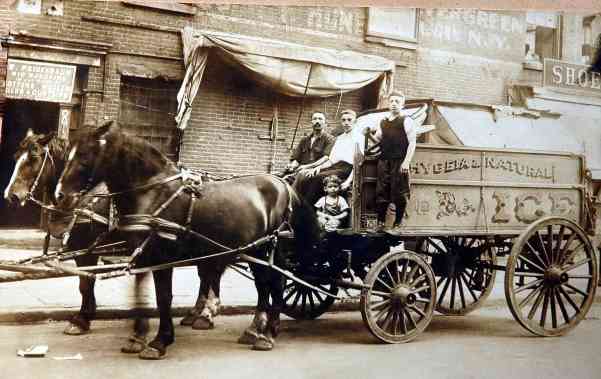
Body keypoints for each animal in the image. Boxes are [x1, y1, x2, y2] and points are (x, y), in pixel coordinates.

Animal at [2, 131, 225, 350]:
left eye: (34, 158)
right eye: (15, 157)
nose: (11, 195)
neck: (83, 199)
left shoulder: (86, 250)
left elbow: (85, 284)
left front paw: (82, 320)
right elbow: (85, 282)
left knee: (212, 274)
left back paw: (206, 315)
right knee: (206, 275)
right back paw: (195, 313)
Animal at [54, 121, 322, 360]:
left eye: (86, 157)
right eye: (67, 155)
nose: (60, 196)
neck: (151, 191)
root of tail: (283, 184)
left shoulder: (161, 257)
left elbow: (163, 297)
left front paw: (160, 341)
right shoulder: (142, 255)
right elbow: (139, 295)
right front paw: (137, 337)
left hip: (270, 248)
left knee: (276, 283)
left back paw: (268, 334)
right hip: (255, 251)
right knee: (263, 285)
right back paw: (254, 330)